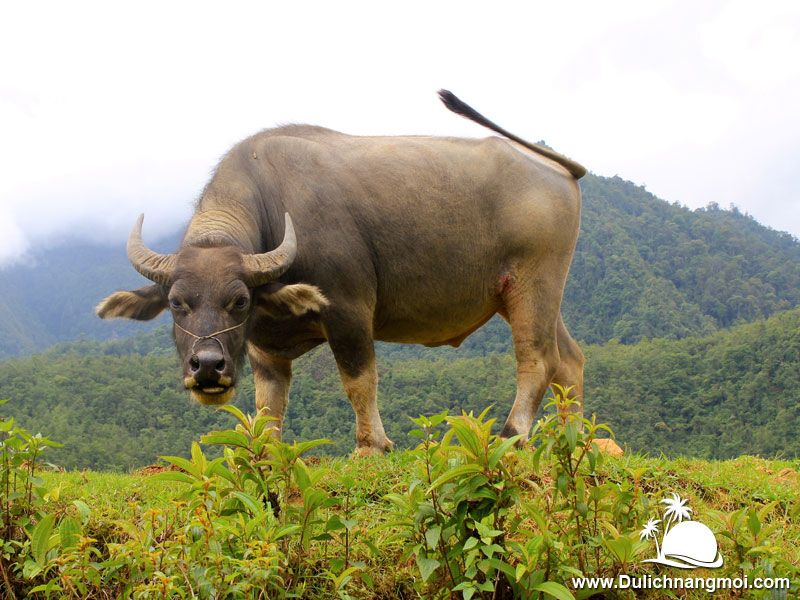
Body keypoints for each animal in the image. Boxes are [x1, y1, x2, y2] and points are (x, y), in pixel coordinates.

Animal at [98, 90, 588, 454]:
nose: (206, 367)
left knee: (537, 359)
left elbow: (358, 380)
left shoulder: (348, 310)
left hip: (533, 284)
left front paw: (371, 446)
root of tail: (553, 167)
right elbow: (268, 404)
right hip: (534, 295)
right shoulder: (264, 349)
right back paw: (576, 439)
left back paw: (513, 435)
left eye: (238, 300)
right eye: (177, 304)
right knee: (569, 360)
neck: (274, 205)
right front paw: (267, 450)